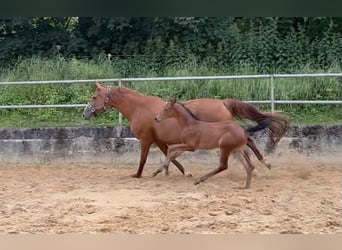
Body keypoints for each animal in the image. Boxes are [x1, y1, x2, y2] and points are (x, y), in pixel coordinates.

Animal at [83, 82, 288, 178]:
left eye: (93, 97)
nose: (85, 113)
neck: (138, 108)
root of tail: (223, 103)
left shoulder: (146, 140)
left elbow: (143, 159)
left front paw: (138, 174)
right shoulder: (160, 141)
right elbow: (172, 158)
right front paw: (183, 172)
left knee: (249, 142)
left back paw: (262, 165)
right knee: (247, 144)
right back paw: (258, 167)